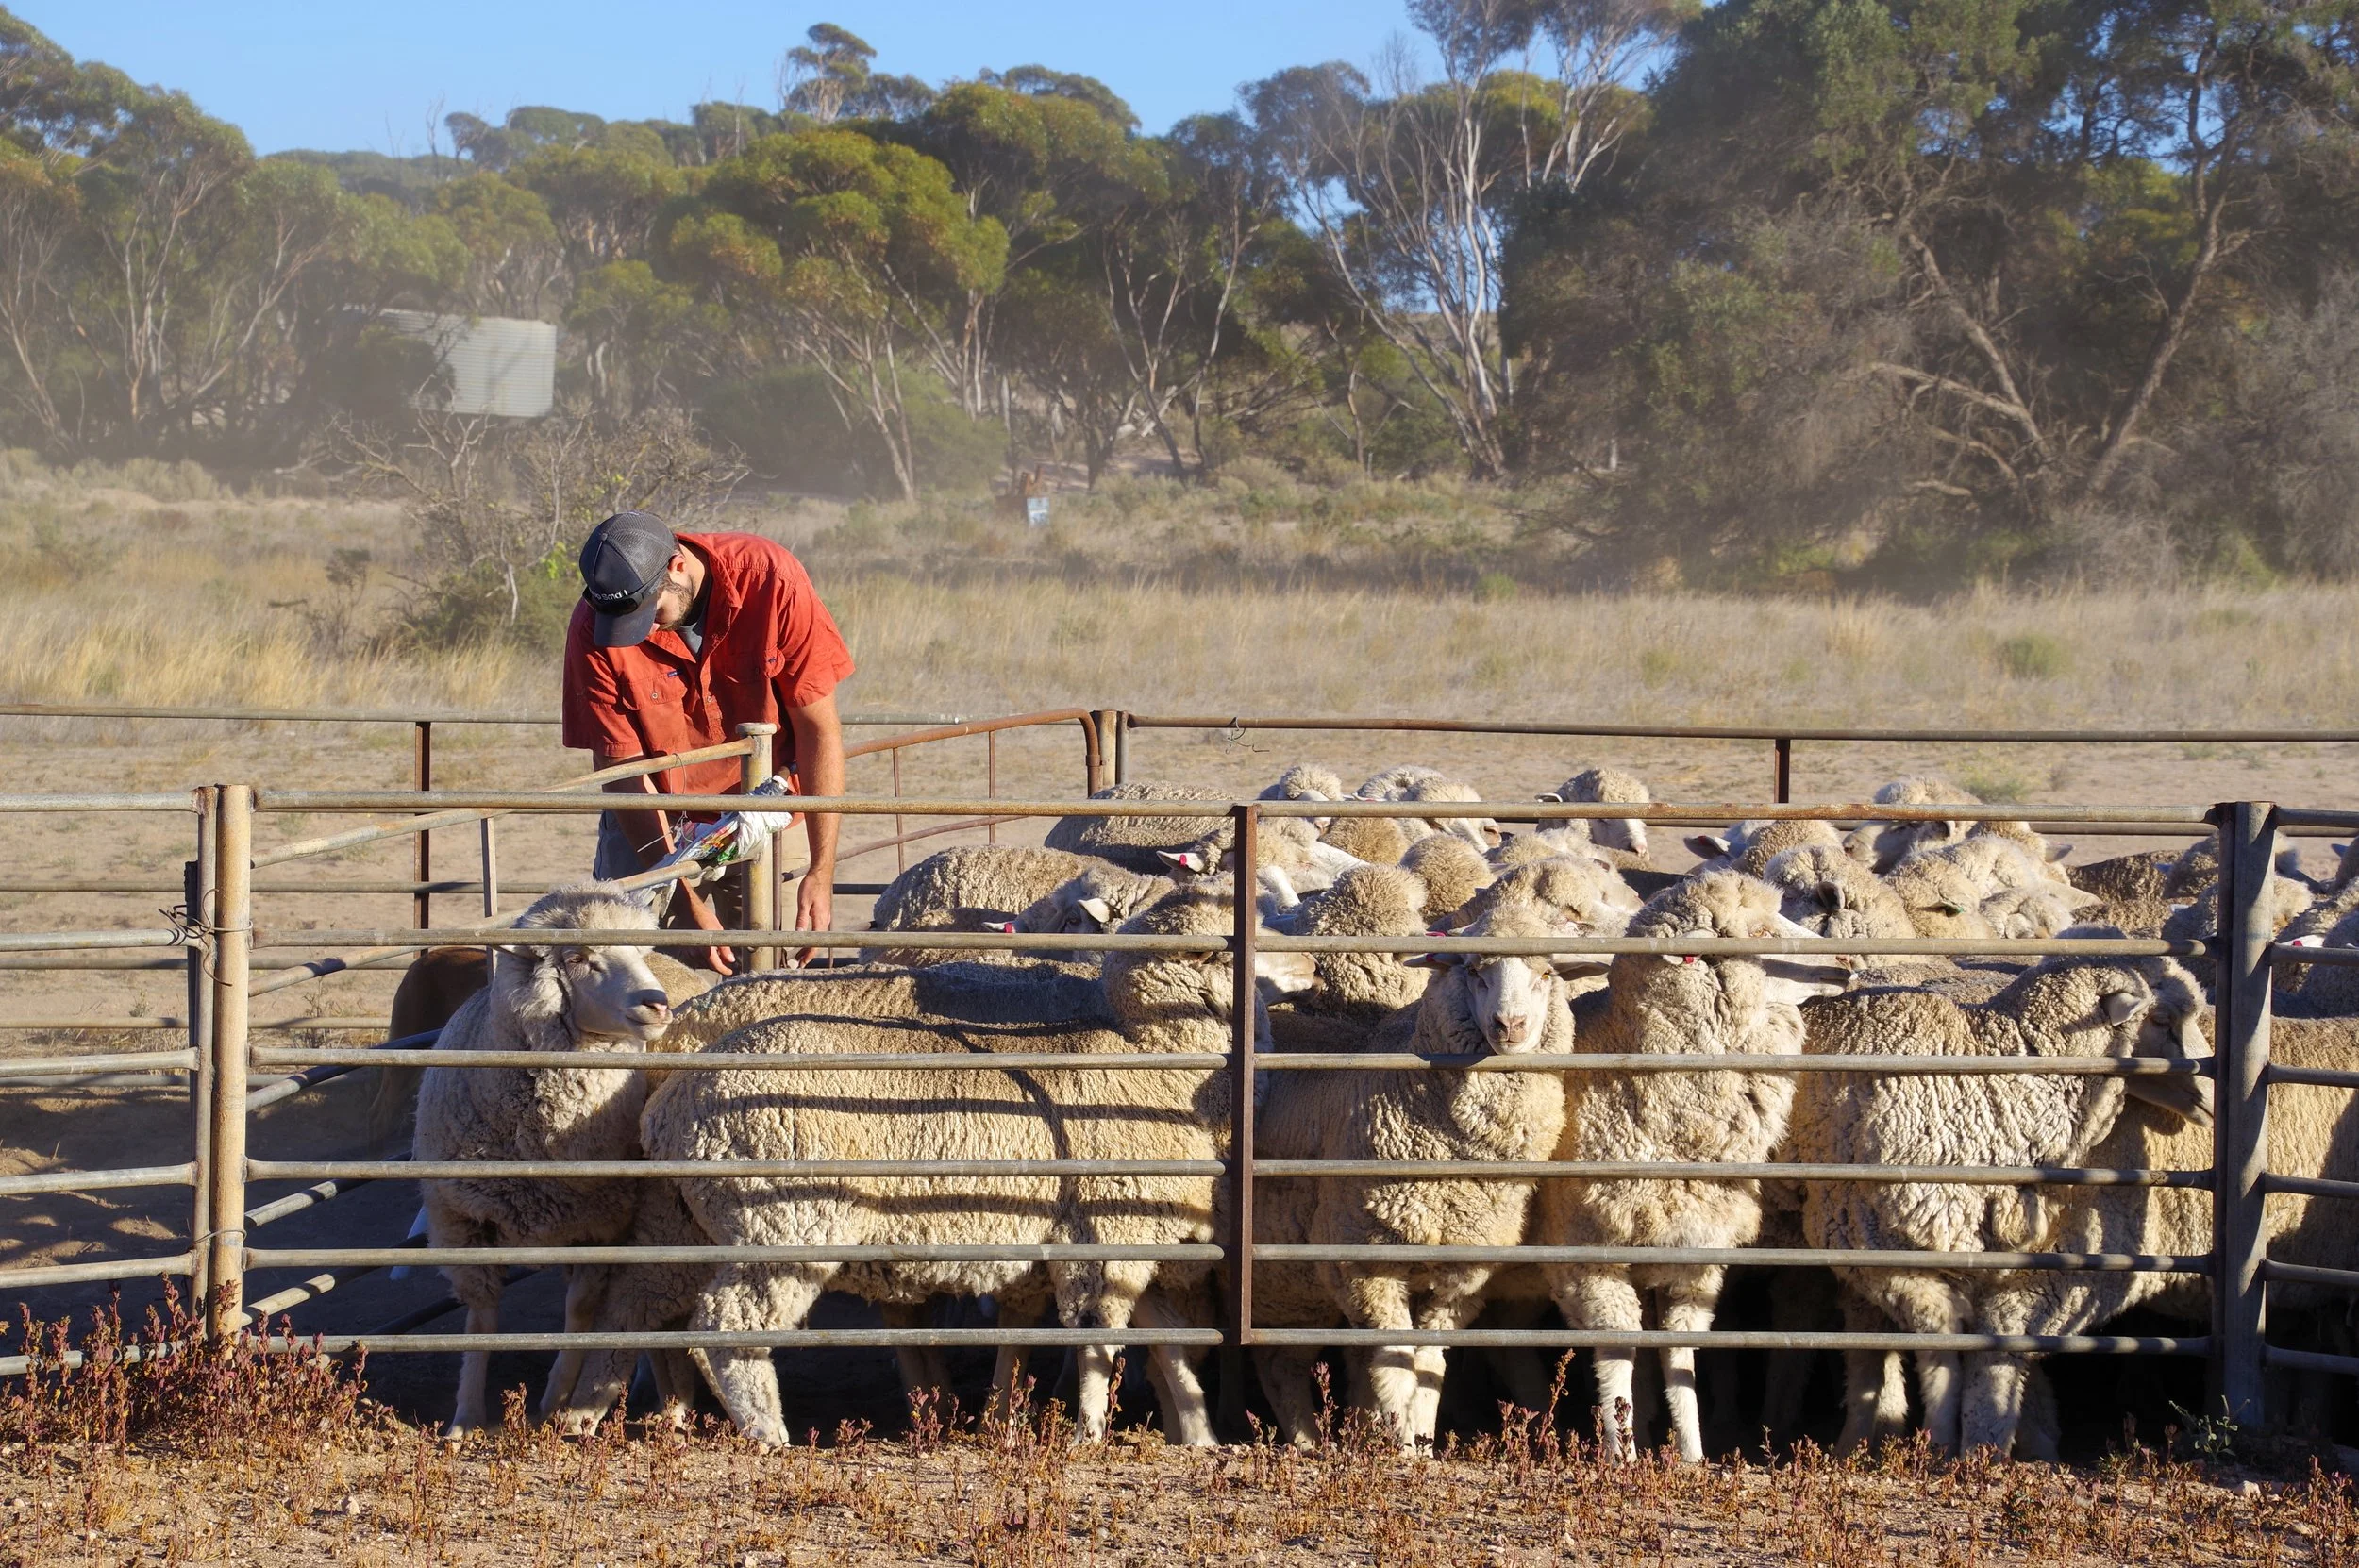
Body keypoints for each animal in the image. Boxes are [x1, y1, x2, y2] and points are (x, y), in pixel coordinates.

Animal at [412, 884, 677, 1437]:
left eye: (638, 952)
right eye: (577, 958)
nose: (657, 1003)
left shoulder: (602, 1227)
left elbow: (579, 1312)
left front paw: (556, 1399)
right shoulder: (461, 1221)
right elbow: (481, 1323)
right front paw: (466, 1419)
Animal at [640, 883, 1306, 1447]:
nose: (1312, 967)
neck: (1151, 1052)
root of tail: (669, 1105)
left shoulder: (1126, 1236)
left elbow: (1164, 1341)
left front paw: (1197, 1435)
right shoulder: (1103, 1233)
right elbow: (1099, 1340)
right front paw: (1088, 1433)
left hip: (694, 1231)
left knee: (688, 1328)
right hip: (784, 1226)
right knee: (726, 1325)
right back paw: (767, 1435)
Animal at [1250, 903, 1588, 1449]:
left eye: (1546, 975)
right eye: (1474, 972)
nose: (1510, 1025)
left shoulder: (1460, 1276)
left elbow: (1427, 1364)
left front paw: (1421, 1442)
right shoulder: (1362, 1262)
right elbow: (1396, 1364)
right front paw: (1401, 1446)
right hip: (1286, 1273)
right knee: (1279, 1362)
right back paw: (1308, 1443)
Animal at [1534, 871, 1852, 1461]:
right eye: (1758, 931)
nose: (1846, 960)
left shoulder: (1693, 1253)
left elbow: (1677, 1353)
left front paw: (1691, 1455)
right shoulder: (1585, 1257)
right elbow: (1616, 1351)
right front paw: (1620, 1457)